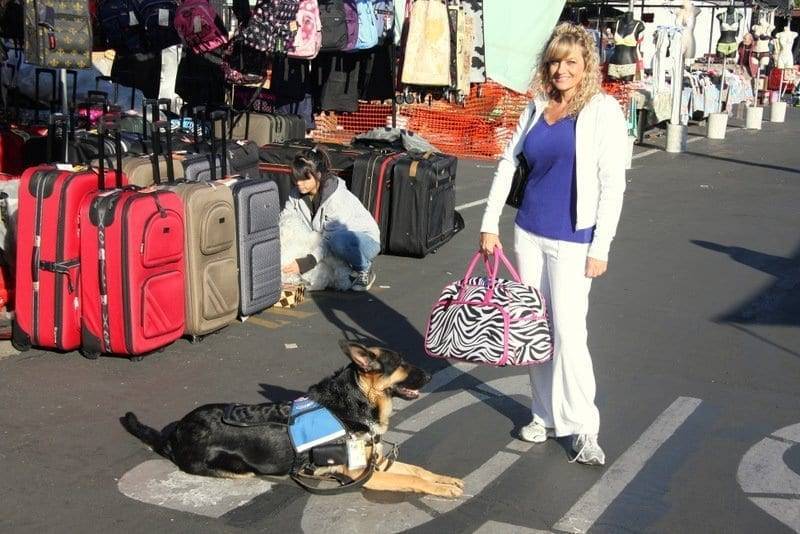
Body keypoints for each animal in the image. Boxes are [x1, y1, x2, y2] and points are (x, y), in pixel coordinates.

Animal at [122, 344, 466, 498]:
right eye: (401, 363)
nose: (431, 375)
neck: (355, 402)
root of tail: (177, 430)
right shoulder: (365, 475)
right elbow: (412, 480)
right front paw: (438, 489)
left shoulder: (377, 464)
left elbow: (419, 470)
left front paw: (445, 480)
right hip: (237, 469)